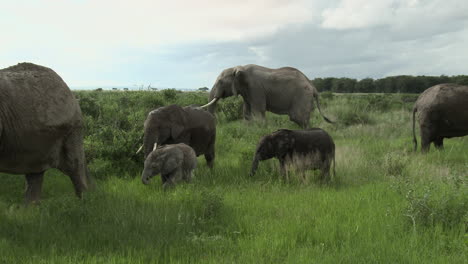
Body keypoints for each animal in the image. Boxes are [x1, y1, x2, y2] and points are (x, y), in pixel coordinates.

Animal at [201, 65, 332, 129]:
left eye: (220, 82)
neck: (238, 67)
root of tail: (313, 86)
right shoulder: (247, 91)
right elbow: (246, 112)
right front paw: (249, 130)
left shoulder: (255, 88)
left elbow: (258, 111)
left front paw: (261, 130)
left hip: (302, 95)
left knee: (298, 117)